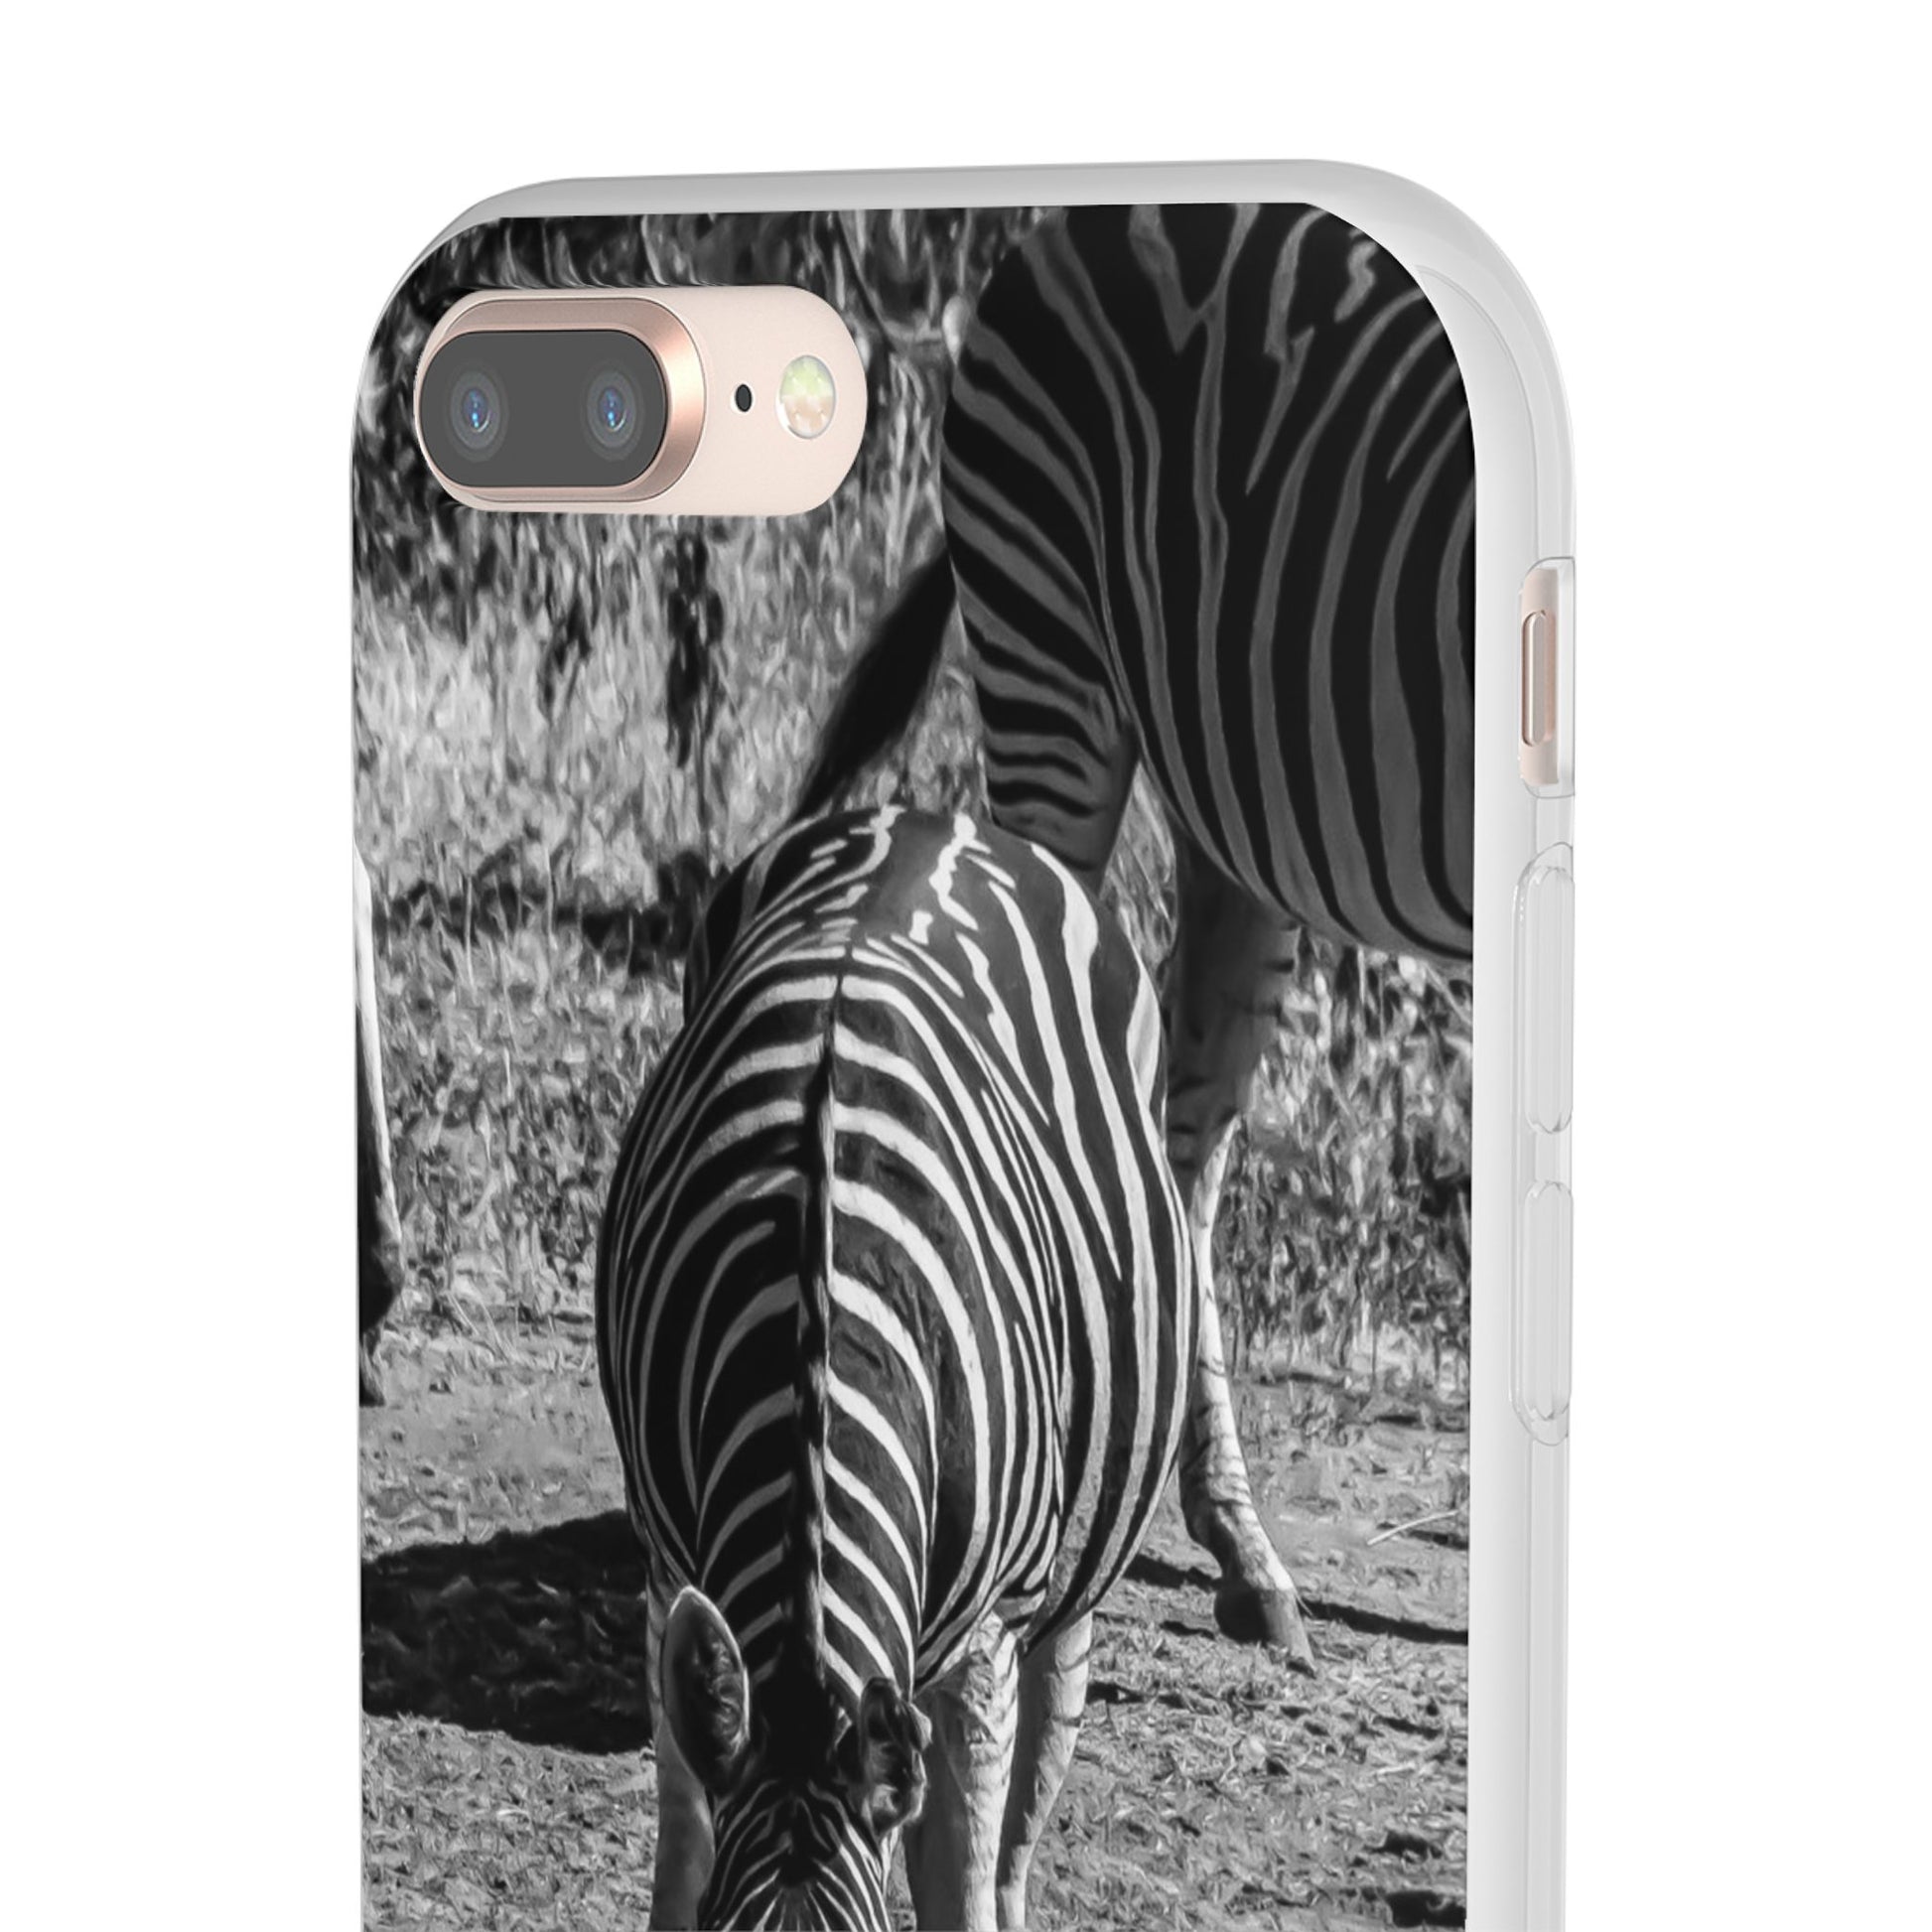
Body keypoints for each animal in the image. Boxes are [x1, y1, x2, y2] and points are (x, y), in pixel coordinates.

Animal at [596, 805, 1194, 1930]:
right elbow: (684, 1847)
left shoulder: (981, 1647)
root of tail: (929, 816)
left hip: (1062, 1579)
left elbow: (957, 1883)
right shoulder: (667, 1569)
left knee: (1025, 1800)